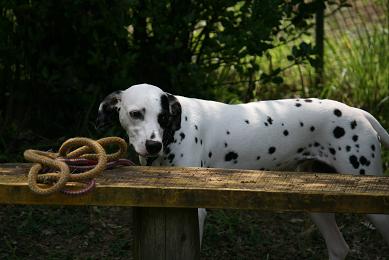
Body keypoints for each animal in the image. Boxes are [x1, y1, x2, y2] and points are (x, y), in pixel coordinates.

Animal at [98, 83, 388, 260]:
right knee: (339, 247)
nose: (153, 145)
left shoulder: (195, 211)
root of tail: (358, 112)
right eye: (136, 113)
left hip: (374, 207)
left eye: (164, 117)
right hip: (316, 202)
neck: (174, 132)